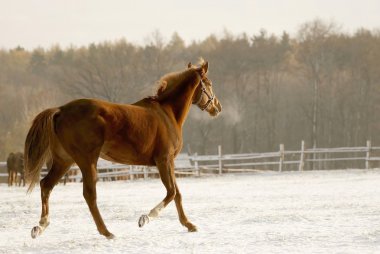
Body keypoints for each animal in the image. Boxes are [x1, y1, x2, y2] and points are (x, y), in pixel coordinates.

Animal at [24, 60, 220, 239]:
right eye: (209, 84)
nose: (217, 107)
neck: (167, 113)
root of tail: (60, 110)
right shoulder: (164, 159)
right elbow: (171, 192)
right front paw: (145, 218)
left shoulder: (169, 162)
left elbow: (177, 193)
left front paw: (189, 224)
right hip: (87, 161)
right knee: (89, 194)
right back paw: (107, 232)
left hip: (64, 160)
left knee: (46, 185)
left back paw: (40, 226)